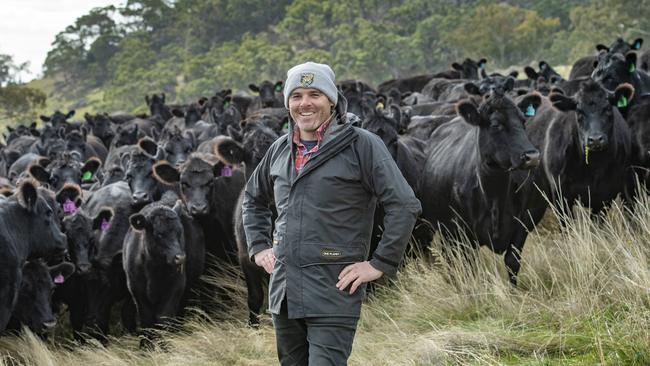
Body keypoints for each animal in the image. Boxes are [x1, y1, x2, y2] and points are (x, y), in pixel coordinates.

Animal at [418, 86, 540, 286]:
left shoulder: (523, 224)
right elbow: (469, 267)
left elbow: (512, 262)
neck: (495, 195)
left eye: (523, 121)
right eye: (496, 124)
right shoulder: (462, 232)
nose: (532, 156)